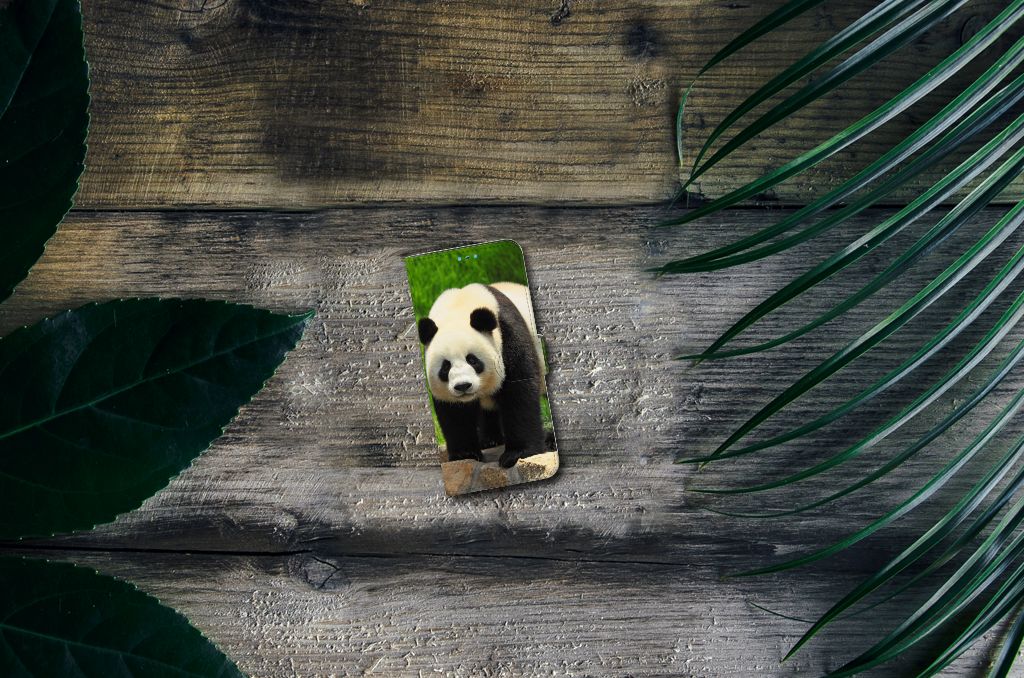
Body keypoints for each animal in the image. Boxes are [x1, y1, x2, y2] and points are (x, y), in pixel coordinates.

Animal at [417, 282, 547, 468]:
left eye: (472, 360)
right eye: (445, 367)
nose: (463, 386)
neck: (458, 307)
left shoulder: (509, 336)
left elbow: (519, 392)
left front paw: (517, 454)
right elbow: (454, 412)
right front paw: (465, 454)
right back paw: (490, 440)